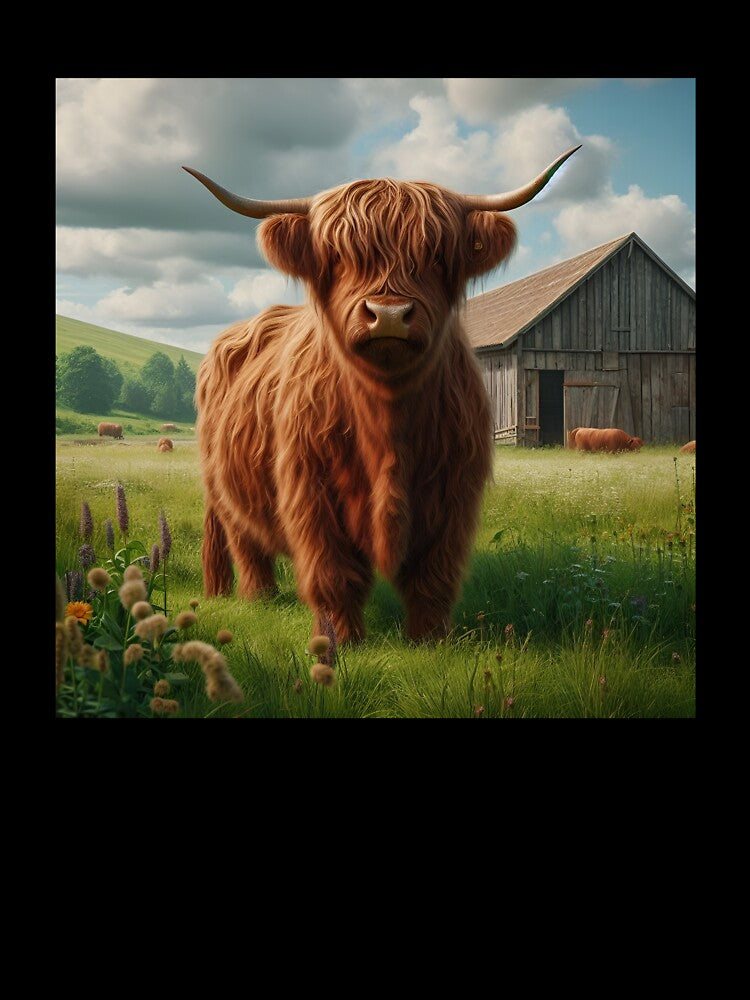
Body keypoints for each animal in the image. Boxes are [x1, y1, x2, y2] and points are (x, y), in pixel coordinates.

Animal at [184, 145, 580, 647]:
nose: (389, 314)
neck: (387, 422)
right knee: (246, 544)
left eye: (436, 255)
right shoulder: (311, 490)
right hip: (223, 490)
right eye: (337, 256)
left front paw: (430, 642)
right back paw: (259, 599)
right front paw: (339, 642)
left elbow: (434, 577)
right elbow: (333, 575)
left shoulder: (455, 491)